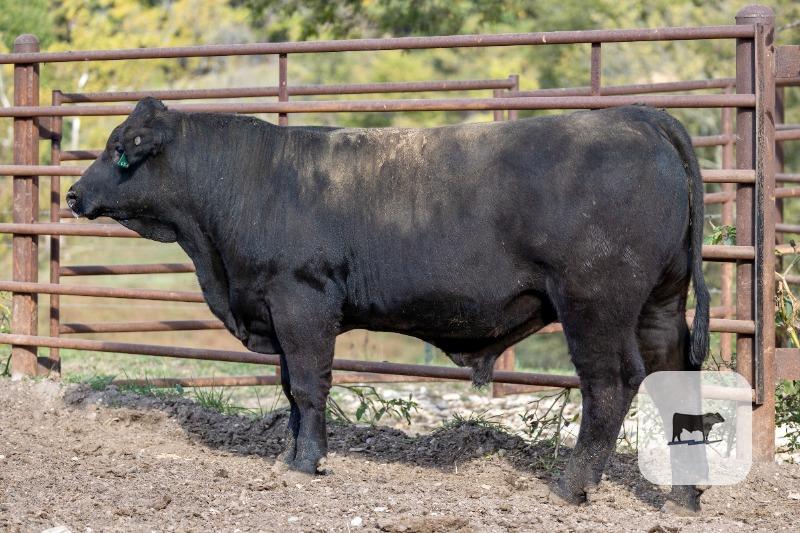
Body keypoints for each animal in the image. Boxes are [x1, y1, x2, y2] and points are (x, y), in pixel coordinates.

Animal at [67, 97, 709, 510]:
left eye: (120, 150)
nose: (73, 194)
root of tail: (638, 117)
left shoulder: (301, 301)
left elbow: (308, 385)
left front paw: (306, 462)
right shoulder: (278, 309)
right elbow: (290, 387)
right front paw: (290, 456)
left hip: (594, 302)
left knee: (611, 383)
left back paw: (573, 486)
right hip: (659, 304)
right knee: (674, 376)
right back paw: (684, 496)